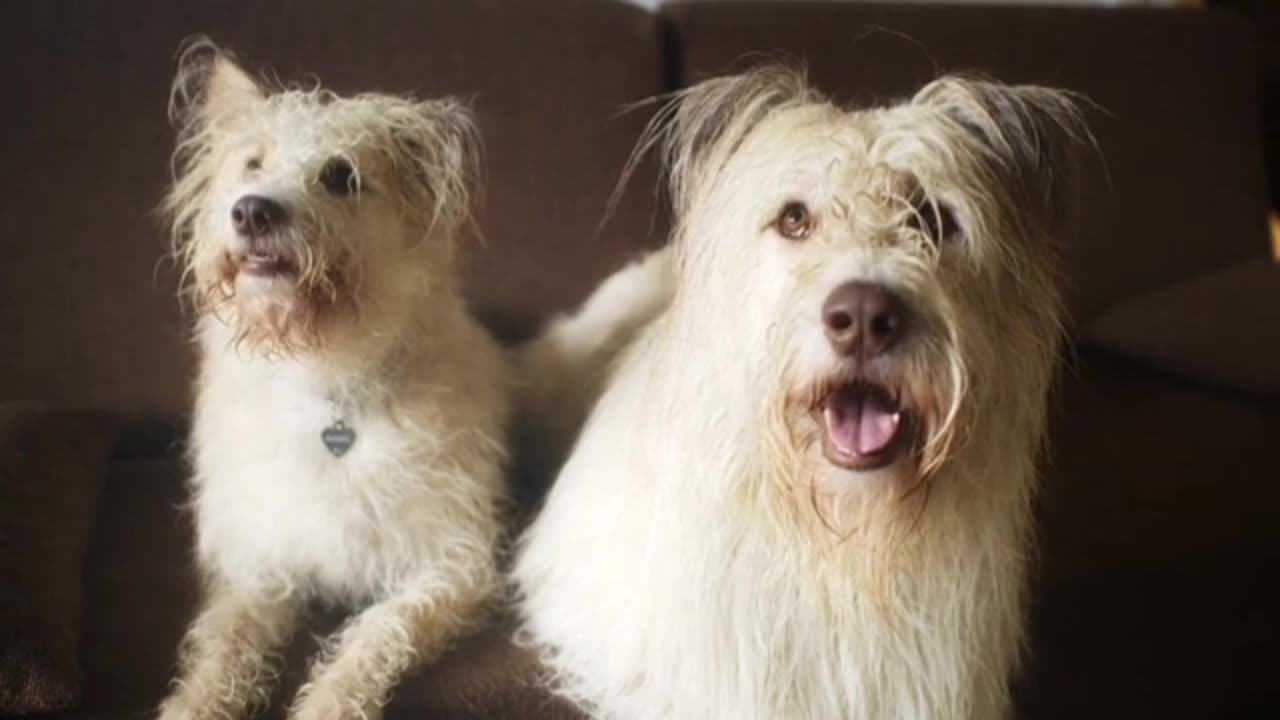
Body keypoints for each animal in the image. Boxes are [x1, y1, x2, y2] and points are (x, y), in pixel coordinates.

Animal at [154, 43, 504, 717]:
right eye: (252, 164)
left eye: (342, 176)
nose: (252, 209)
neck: (325, 375)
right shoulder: (259, 564)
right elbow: (223, 646)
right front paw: (192, 703)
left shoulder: (448, 566)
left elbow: (374, 634)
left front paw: (328, 702)